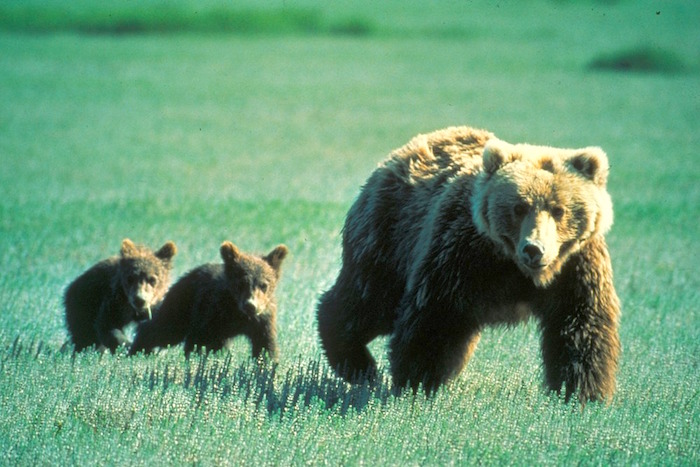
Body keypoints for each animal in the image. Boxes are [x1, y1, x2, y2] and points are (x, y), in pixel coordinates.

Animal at [129, 241, 289, 359]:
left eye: (264, 285)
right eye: (241, 283)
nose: (251, 305)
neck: (238, 313)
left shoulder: (262, 320)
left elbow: (265, 345)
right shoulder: (213, 313)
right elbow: (200, 340)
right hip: (182, 302)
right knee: (165, 328)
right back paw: (138, 350)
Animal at [317, 126, 621, 405]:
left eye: (559, 210)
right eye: (519, 207)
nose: (534, 249)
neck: (517, 270)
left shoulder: (577, 267)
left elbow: (580, 326)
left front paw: (582, 394)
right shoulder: (461, 254)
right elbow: (436, 316)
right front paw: (416, 382)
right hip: (389, 237)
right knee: (366, 301)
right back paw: (358, 365)